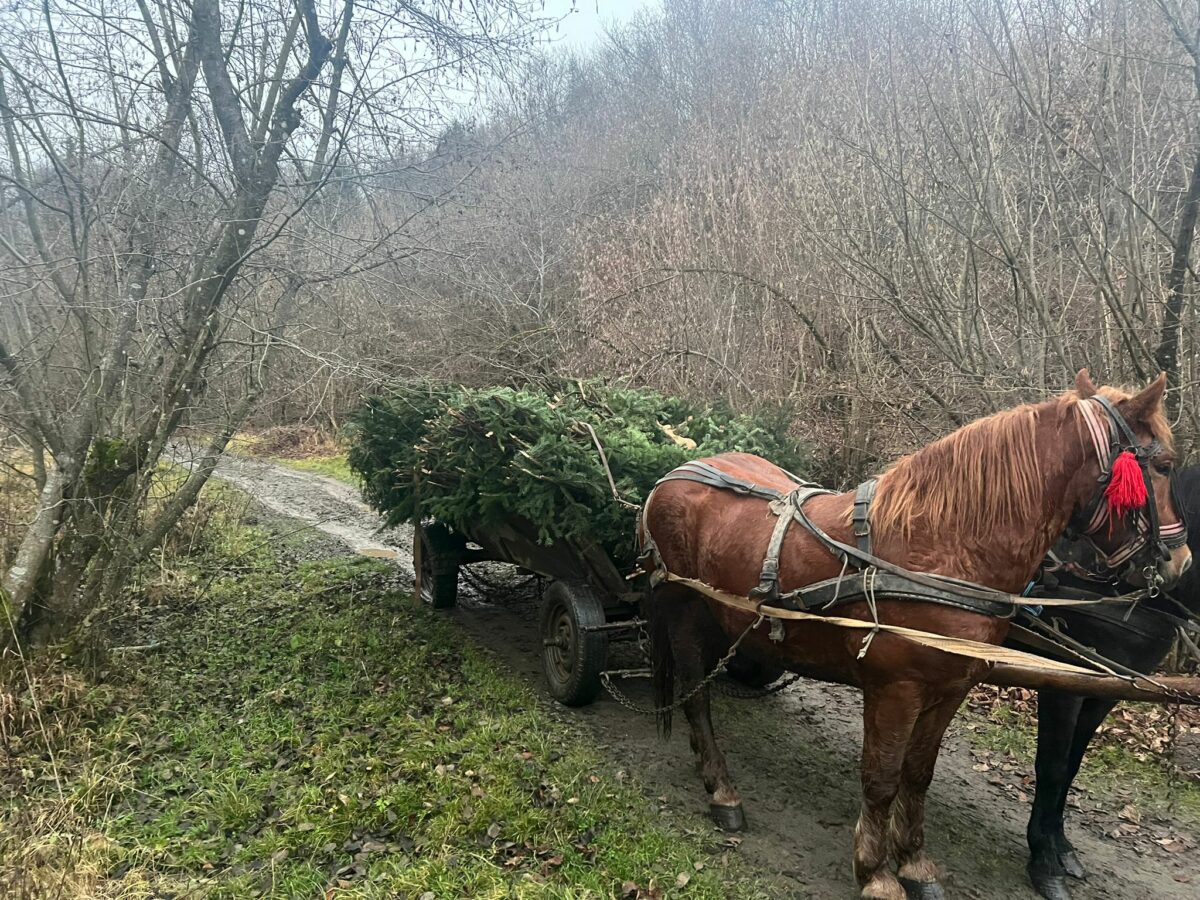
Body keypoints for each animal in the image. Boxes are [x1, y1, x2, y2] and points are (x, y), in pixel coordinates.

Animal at [1022, 465, 1200, 900]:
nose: (1179, 564)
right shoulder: (1064, 682)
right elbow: (1053, 765)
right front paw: (1044, 859)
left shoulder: (1105, 691)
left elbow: (1072, 765)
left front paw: (1061, 846)